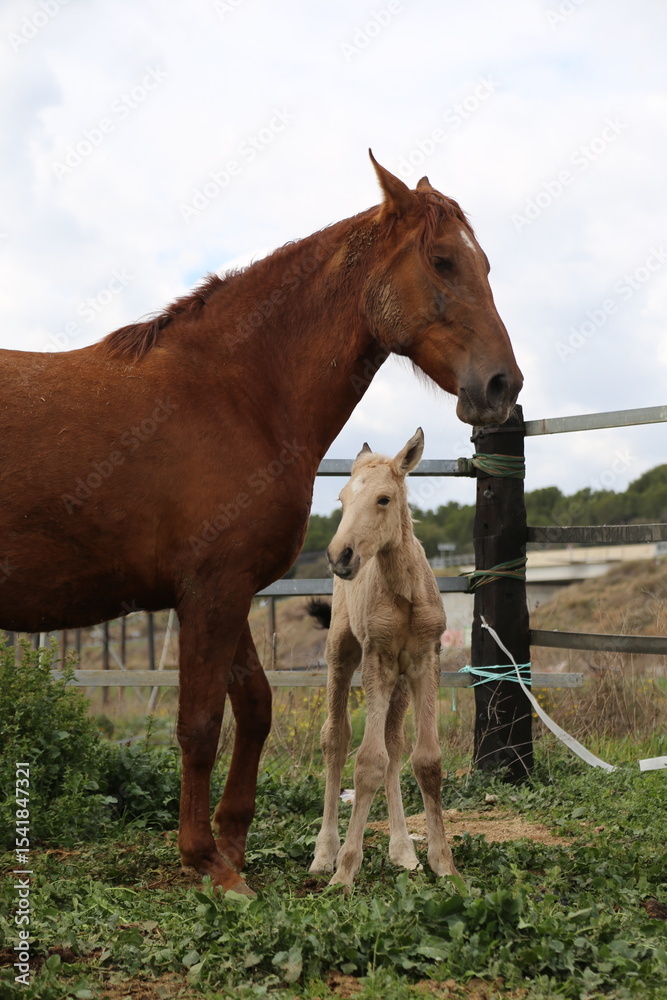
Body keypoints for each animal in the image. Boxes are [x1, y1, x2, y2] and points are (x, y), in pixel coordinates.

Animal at [308, 429, 459, 887]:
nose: (339, 555)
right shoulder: (376, 659)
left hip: (400, 680)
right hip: (342, 653)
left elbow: (425, 760)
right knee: (335, 739)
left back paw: (403, 850)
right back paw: (324, 853)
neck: (405, 594)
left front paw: (443, 864)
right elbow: (367, 761)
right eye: (341, 498)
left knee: (394, 744)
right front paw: (345, 871)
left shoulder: (424, 661)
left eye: (383, 499)